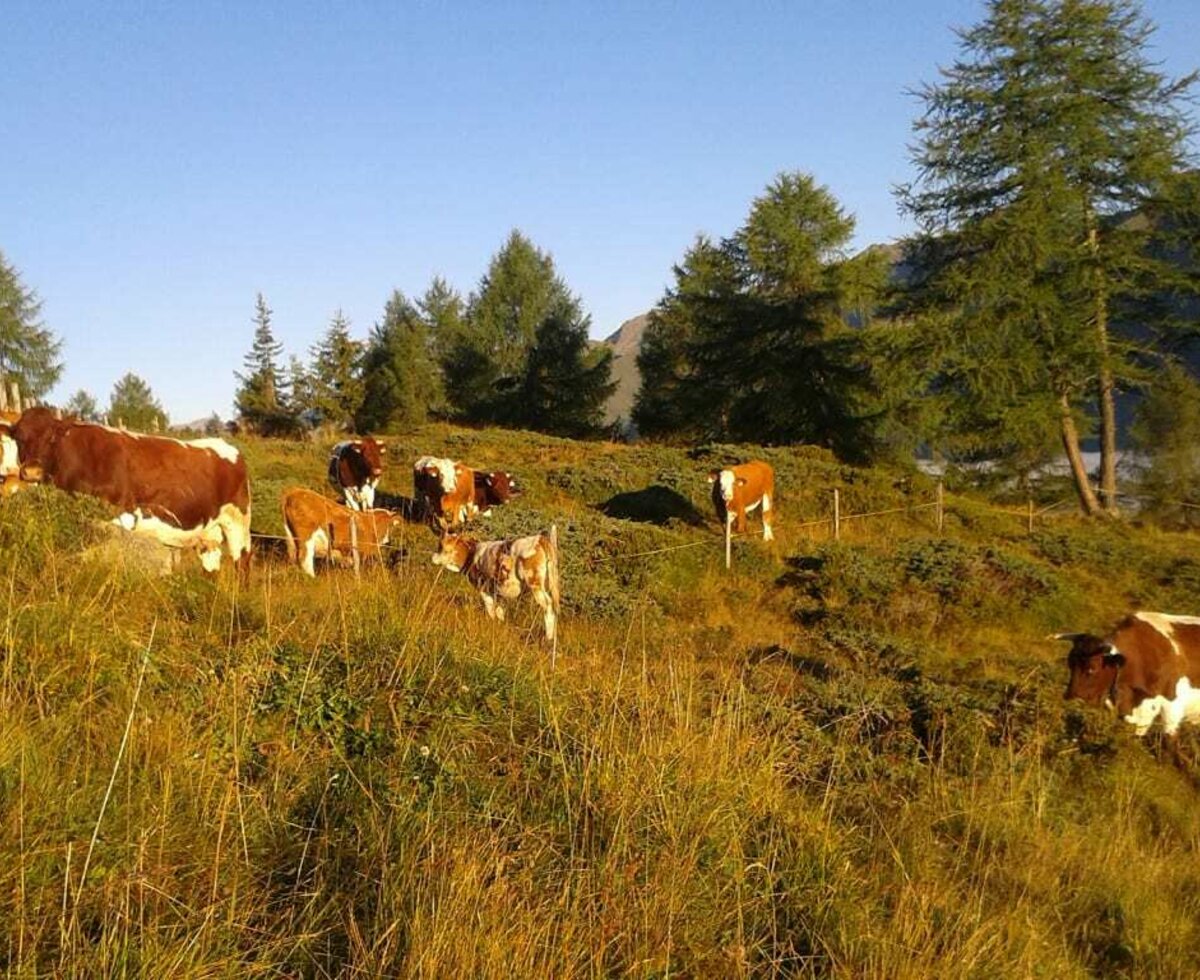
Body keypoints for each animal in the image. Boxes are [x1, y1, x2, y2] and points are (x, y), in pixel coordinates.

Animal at [7, 405, 253, 573]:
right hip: (207, 530)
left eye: (52, 438)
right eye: (19, 438)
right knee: (212, 561)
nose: (31, 471)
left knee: (242, 559)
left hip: (238, 519)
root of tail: (226, 446)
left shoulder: (121, 516)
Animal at [432, 522, 561, 647]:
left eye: (441, 546)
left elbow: (491, 611)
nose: (433, 556)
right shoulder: (497, 593)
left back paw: (548, 638)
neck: (471, 555)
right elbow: (500, 612)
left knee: (548, 606)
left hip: (535, 583)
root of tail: (540, 538)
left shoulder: (484, 589)